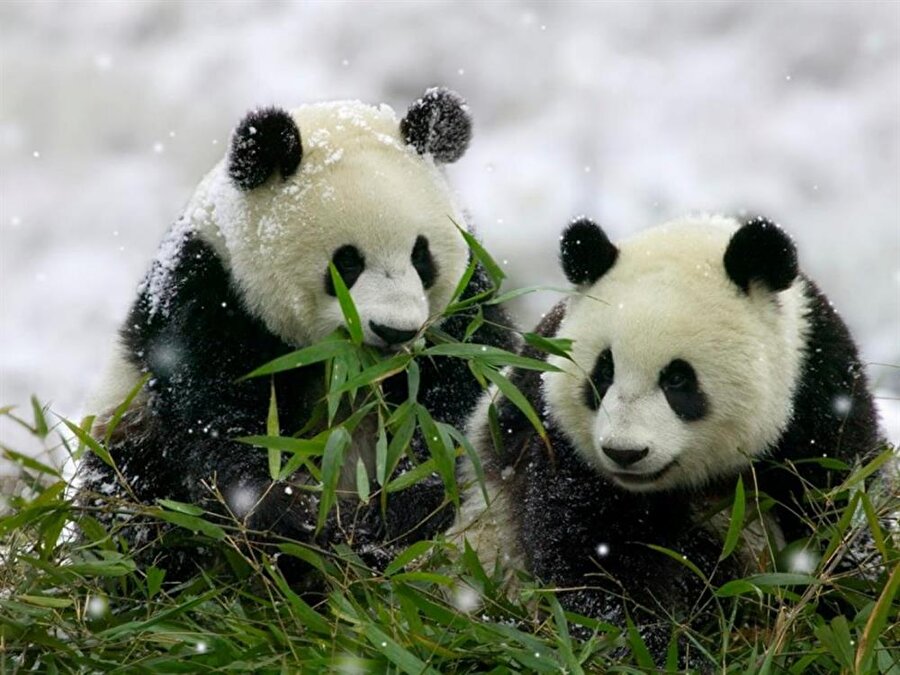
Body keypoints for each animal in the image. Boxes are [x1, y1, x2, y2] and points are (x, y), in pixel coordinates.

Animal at [75, 88, 512, 576]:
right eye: (347, 263)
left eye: (422, 256)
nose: (395, 330)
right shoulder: (208, 297)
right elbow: (222, 425)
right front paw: (298, 519)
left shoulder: (463, 309)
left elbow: (456, 407)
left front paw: (390, 516)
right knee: (128, 504)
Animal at [454, 215, 896, 660]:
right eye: (603, 372)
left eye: (678, 379)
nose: (624, 453)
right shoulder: (558, 434)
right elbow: (596, 556)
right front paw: (665, 648)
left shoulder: (818, 388)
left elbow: (837, 509)